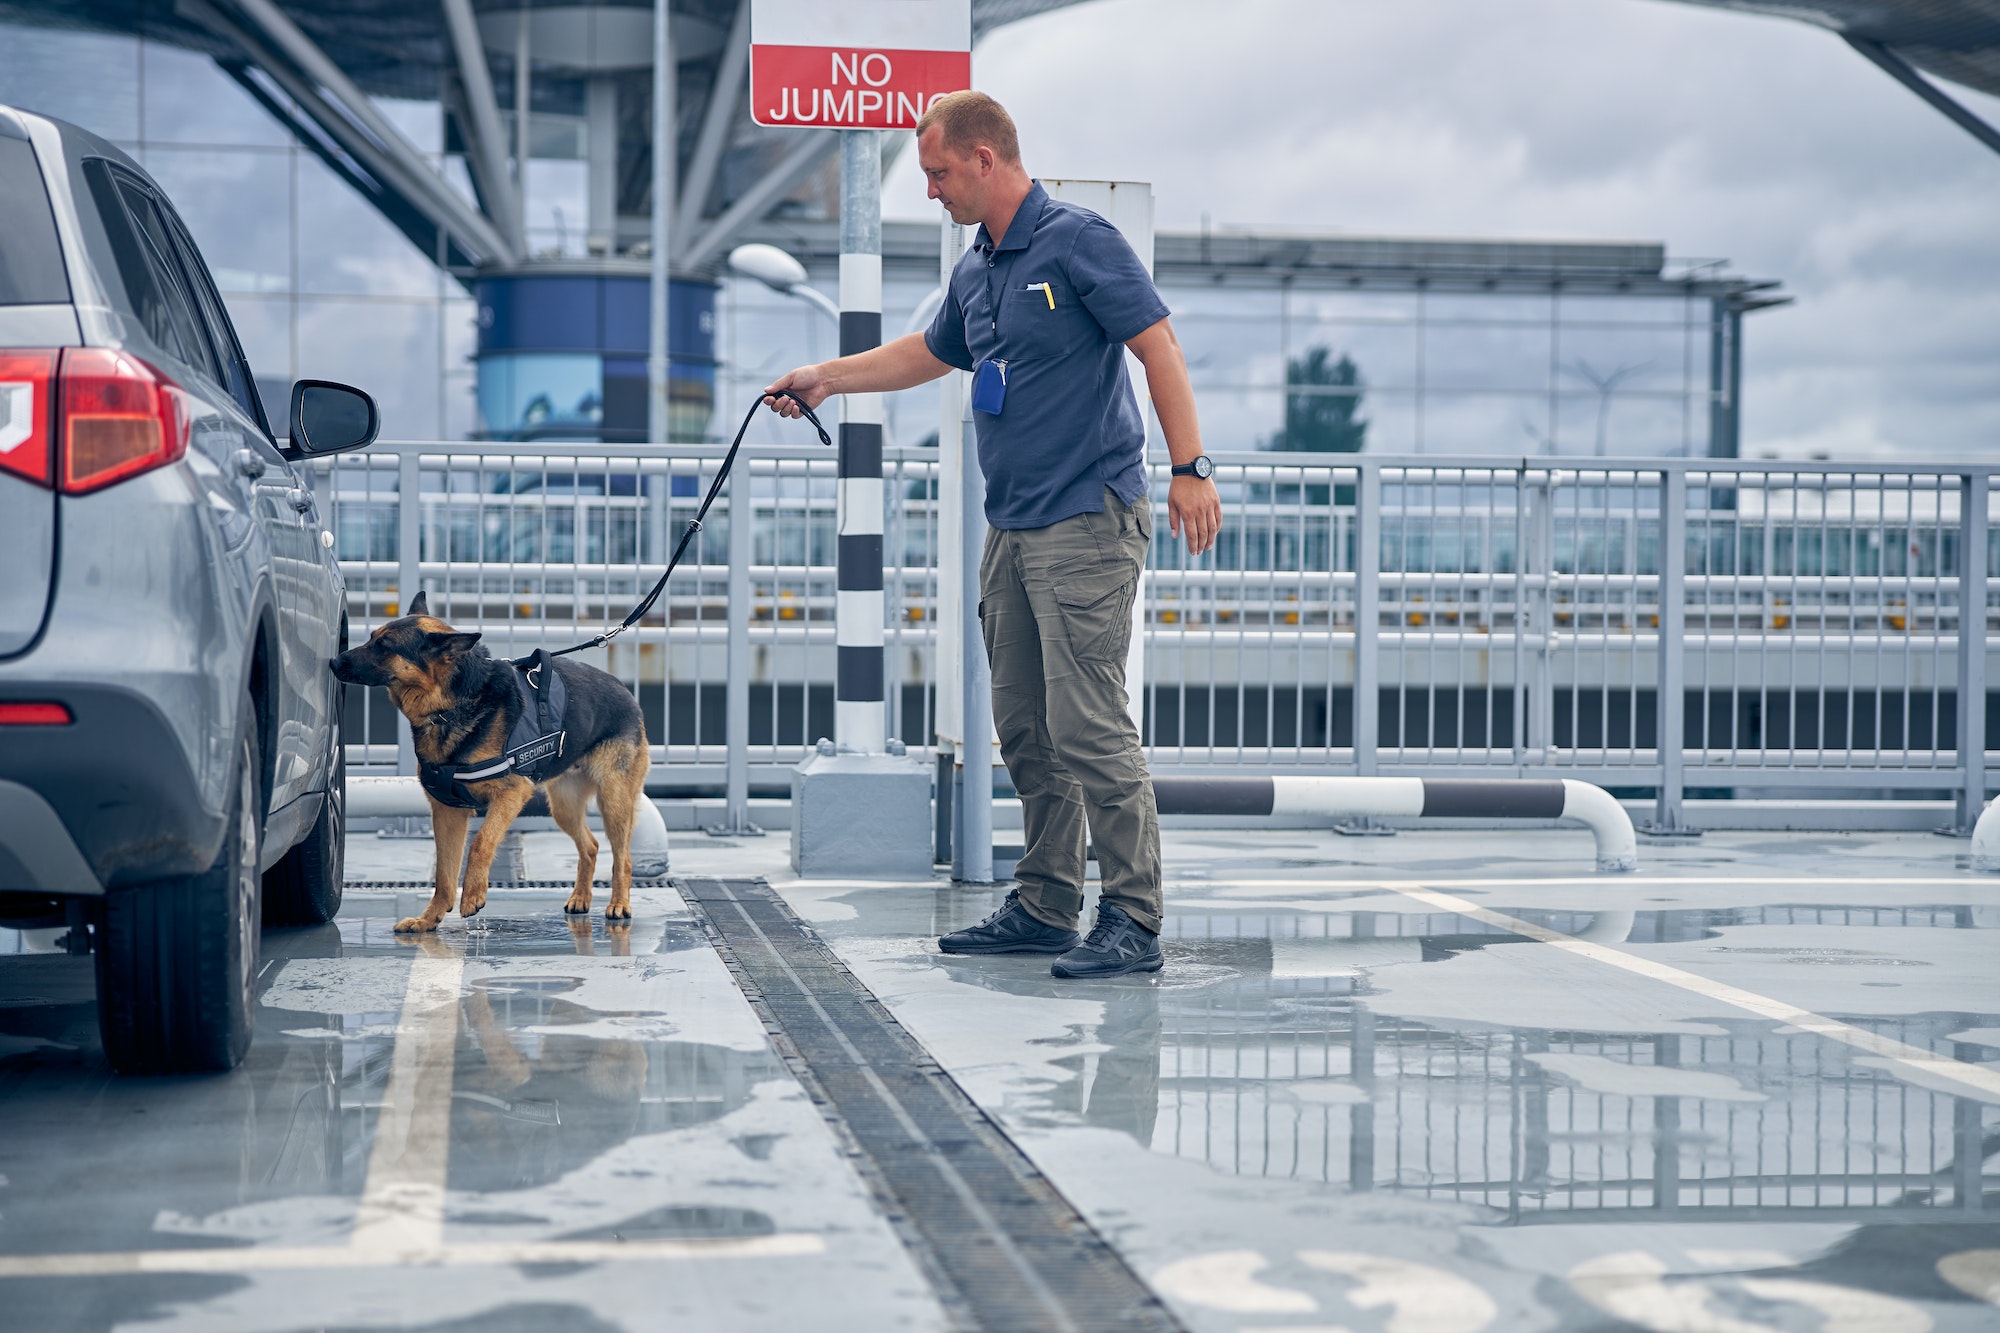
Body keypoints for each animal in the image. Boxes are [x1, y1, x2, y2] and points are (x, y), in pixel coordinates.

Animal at [330, 592, 648, 932]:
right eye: (372, 638)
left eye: (385, 646)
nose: (333, 661)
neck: (449, 706)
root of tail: (624, 690)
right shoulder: (447, 812)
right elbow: (444, 874)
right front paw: (430, 918)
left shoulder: (510, 795)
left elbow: (481, 842)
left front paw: (472, 896)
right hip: (564, 806)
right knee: (590, 846)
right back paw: (580, 898)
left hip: (613, 801)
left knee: (623, 858)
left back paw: (619, 904)